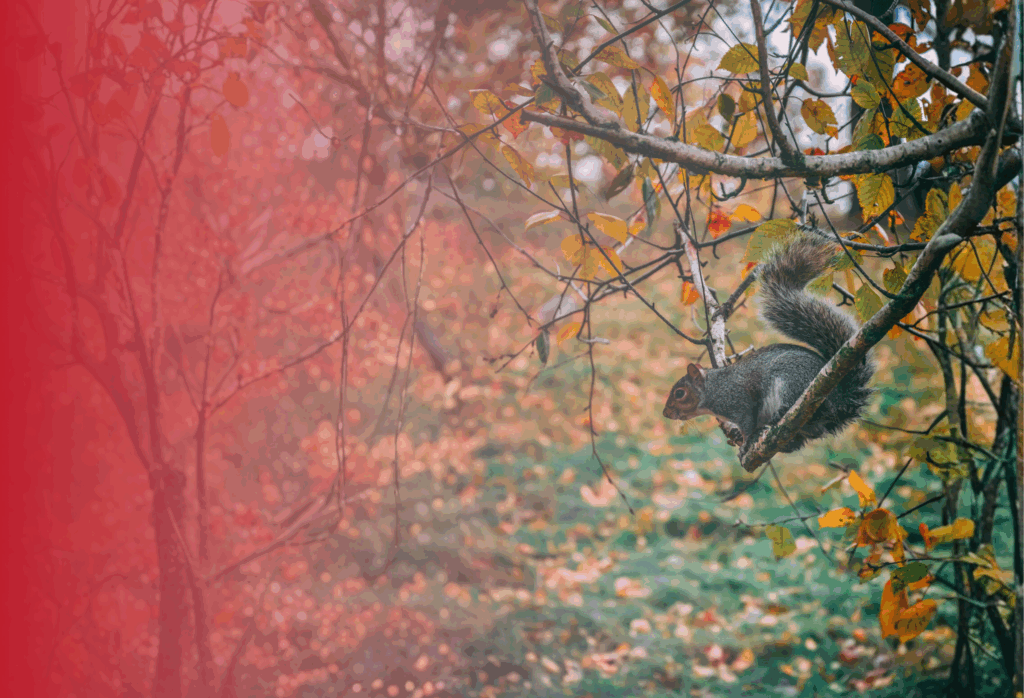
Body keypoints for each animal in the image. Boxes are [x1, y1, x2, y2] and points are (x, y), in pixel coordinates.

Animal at [663, 234, 873, 458]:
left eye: (679, 393)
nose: (665, 413)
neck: (714, 388)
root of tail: (840, 401)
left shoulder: (740, 401)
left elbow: (747, 424)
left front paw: (745, 444)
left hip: (793, 382)